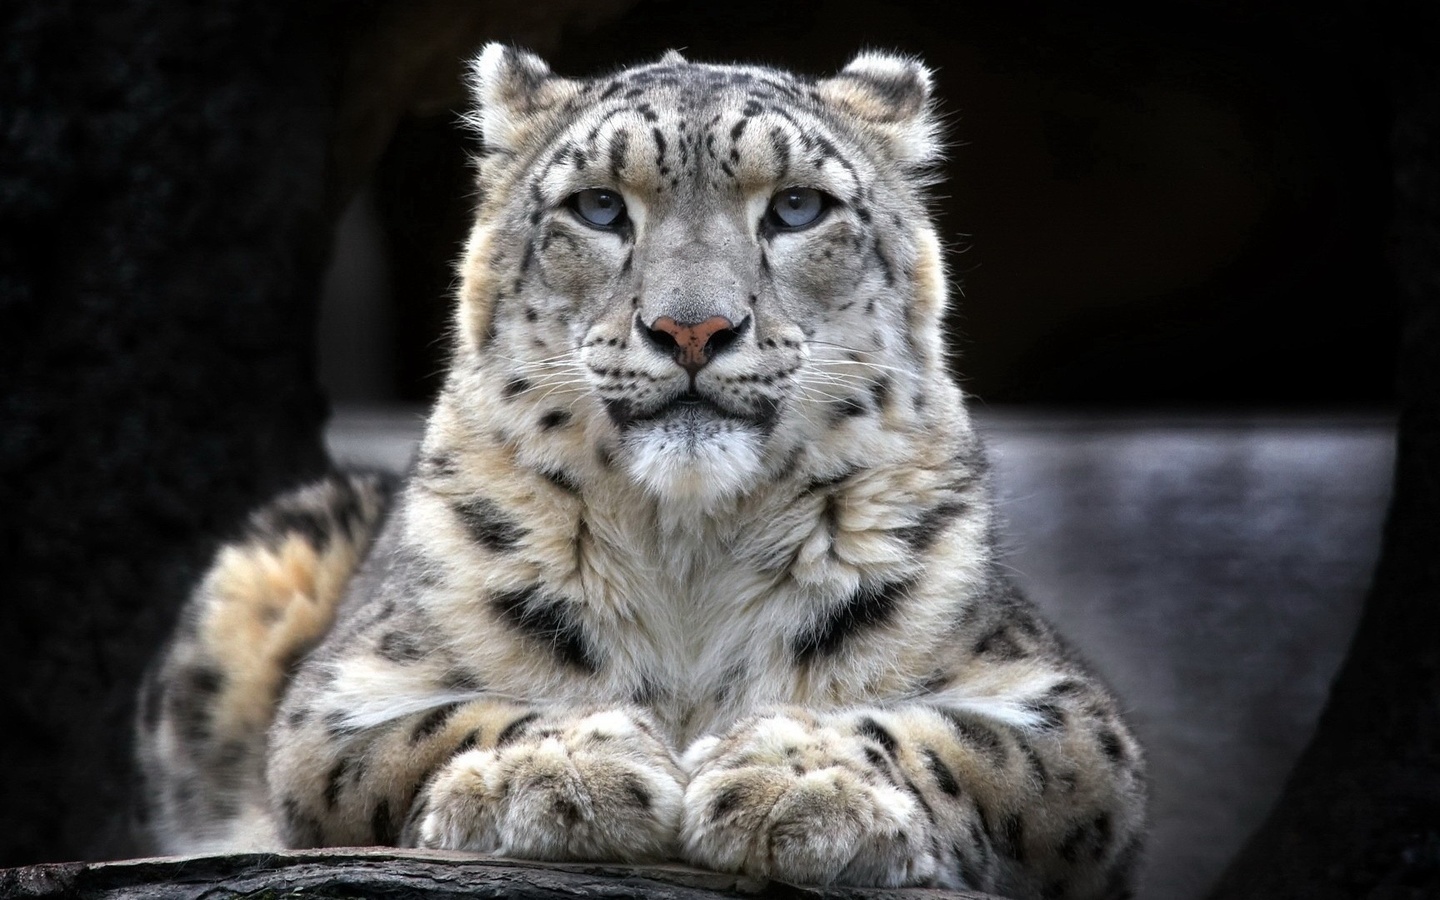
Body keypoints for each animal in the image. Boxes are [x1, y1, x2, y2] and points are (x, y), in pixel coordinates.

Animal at [135, 43, 1146, 898]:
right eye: (598, 206)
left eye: (797, 206)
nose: (692, 329)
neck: (690, 550)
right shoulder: (344, 694)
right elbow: (441, 721)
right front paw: (556, 770)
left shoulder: (1062, 708)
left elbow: (959, 740)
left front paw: (793, 780)